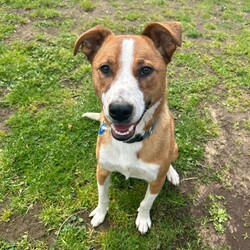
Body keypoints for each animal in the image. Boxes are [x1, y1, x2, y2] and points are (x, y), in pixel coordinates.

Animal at [73, 22, 182, 234]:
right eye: (105, 68)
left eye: (146, 70)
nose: (119, 111)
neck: (129, 143)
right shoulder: (102, 170)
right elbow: (103, 197)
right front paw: (100, 213)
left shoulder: (155, 182)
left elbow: (146, 203)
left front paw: (143, 219)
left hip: (174, 148)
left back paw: (172, 173)